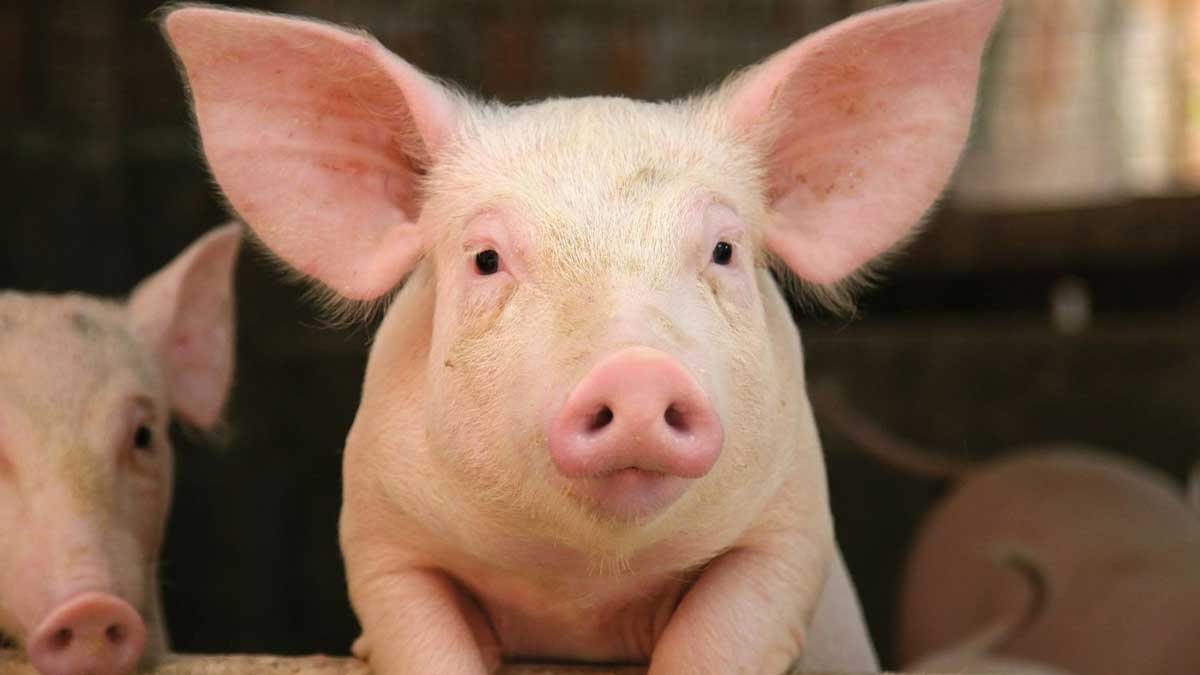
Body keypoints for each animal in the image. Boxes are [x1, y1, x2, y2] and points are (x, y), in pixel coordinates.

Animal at [160, 0, 1002, 672]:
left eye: (723, 250)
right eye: (486, 258)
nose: (636, 372)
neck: (582, 590)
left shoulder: (790, 529)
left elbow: (719, 636)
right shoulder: (378, 536)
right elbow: (421, 636)